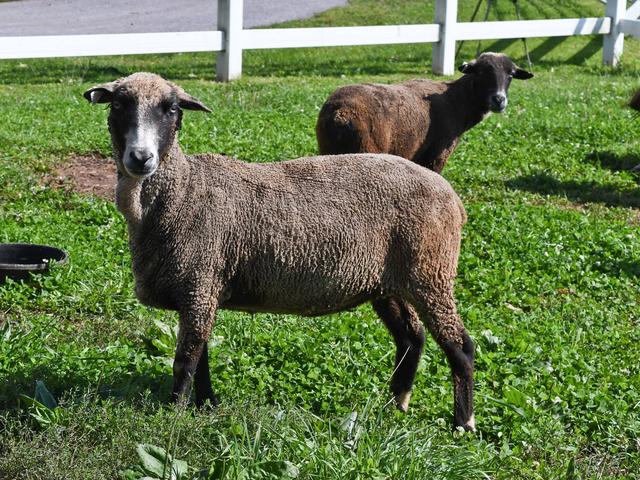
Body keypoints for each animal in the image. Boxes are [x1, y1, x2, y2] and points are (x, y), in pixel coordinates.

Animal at [83, 72, 474, 431]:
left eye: (172, 109)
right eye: (118, 105)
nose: (141, 157)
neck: (183, 190)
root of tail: (451, 197)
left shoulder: (200, 282)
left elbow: (186, 360)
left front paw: (174, 420)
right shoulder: (200, 289)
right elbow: (202, 356)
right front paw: (207, 406)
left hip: (431, 273)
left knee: (460, 345)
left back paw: (463, 423)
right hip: (388, 281)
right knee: (411, 337)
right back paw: (397, 404)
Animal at [316, 52, 533, 173]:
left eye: (511, 75)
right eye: (480, 72)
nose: (499, 100)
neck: (457, 100)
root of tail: (339, 114)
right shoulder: (438, 154)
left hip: (328, 151)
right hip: (365, 150)